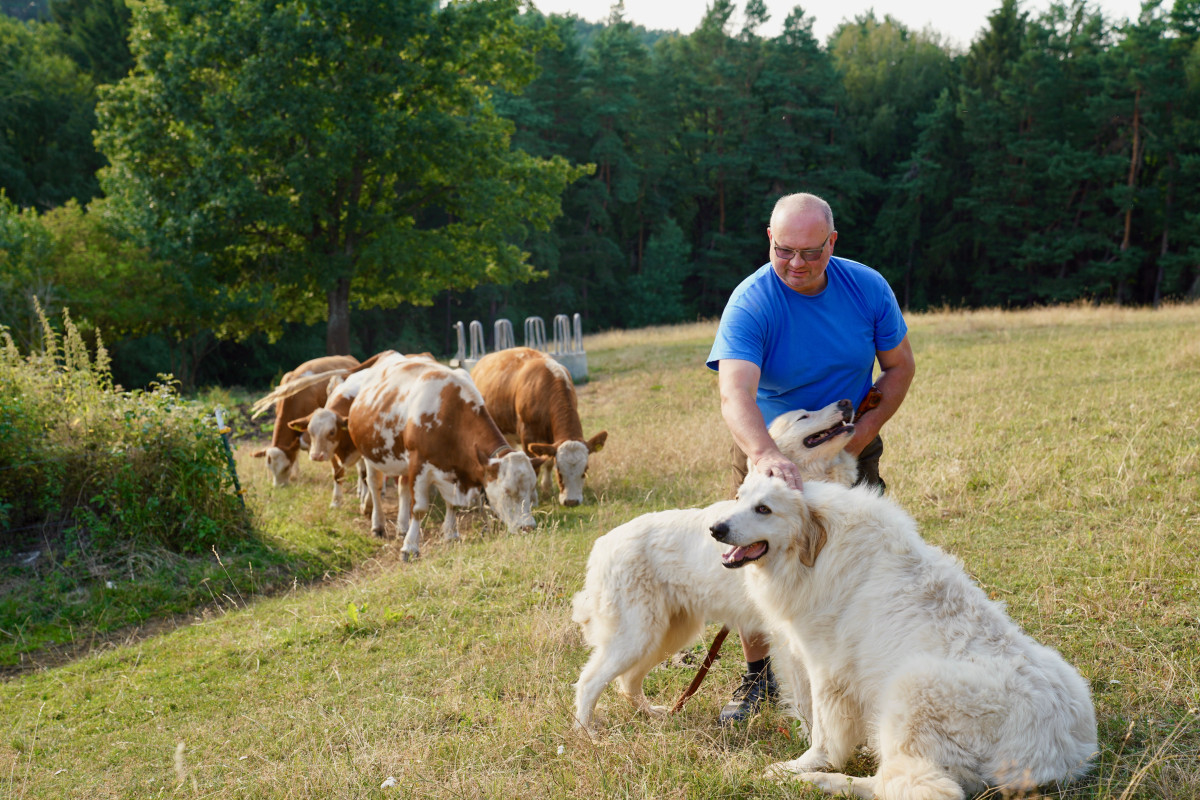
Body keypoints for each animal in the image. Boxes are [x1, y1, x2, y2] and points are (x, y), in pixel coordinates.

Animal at [253, 352, 360, 484]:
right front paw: (295, 476)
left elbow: (302, 444)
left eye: (286, 467)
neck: (293, 398)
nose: (279, 486)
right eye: (270, 468)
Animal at [470, 345, 604, 506]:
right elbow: (535, 468)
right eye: (560, 470)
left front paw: (546, 487)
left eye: (585, 470)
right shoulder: (528, 435)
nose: (571, 502)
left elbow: (547, 461)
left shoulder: (550, 440)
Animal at [568, 400, 854, 734]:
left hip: (666, 635)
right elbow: (807, 700)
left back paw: (653, 715)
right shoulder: (789, 635)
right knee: (589, 681)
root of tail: (601, 545)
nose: (847, 402)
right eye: (803, 416)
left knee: (627, 681)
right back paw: (588, 733)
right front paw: (809, 739)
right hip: (636, 636)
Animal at [710, 474, 1099, 800]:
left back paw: (812, 781)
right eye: (738, 498)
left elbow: (823, 734)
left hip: (911, 685)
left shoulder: (826, 672)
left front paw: (803, 766)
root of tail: (1055, 757)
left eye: (764, 509)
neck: (820, 546)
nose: (715, 528)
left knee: (916, 787)